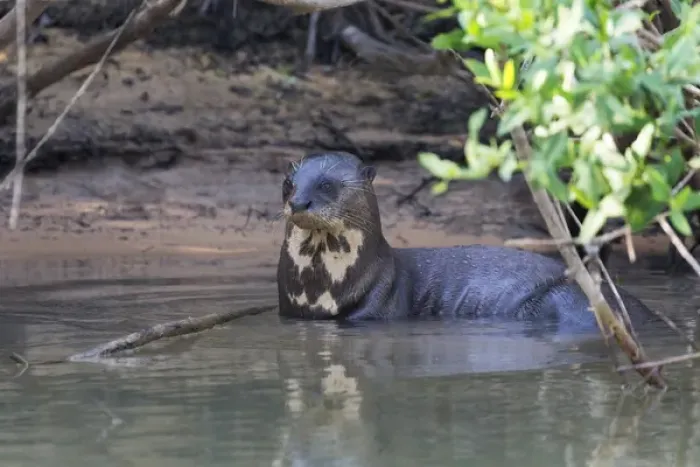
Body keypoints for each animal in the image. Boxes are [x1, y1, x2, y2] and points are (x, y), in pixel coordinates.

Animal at [276, 151, 658, 331]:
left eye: (326, 184)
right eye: (288, 183)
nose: (299, 202)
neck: (319, 289)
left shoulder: (378, 305)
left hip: (561, 300)